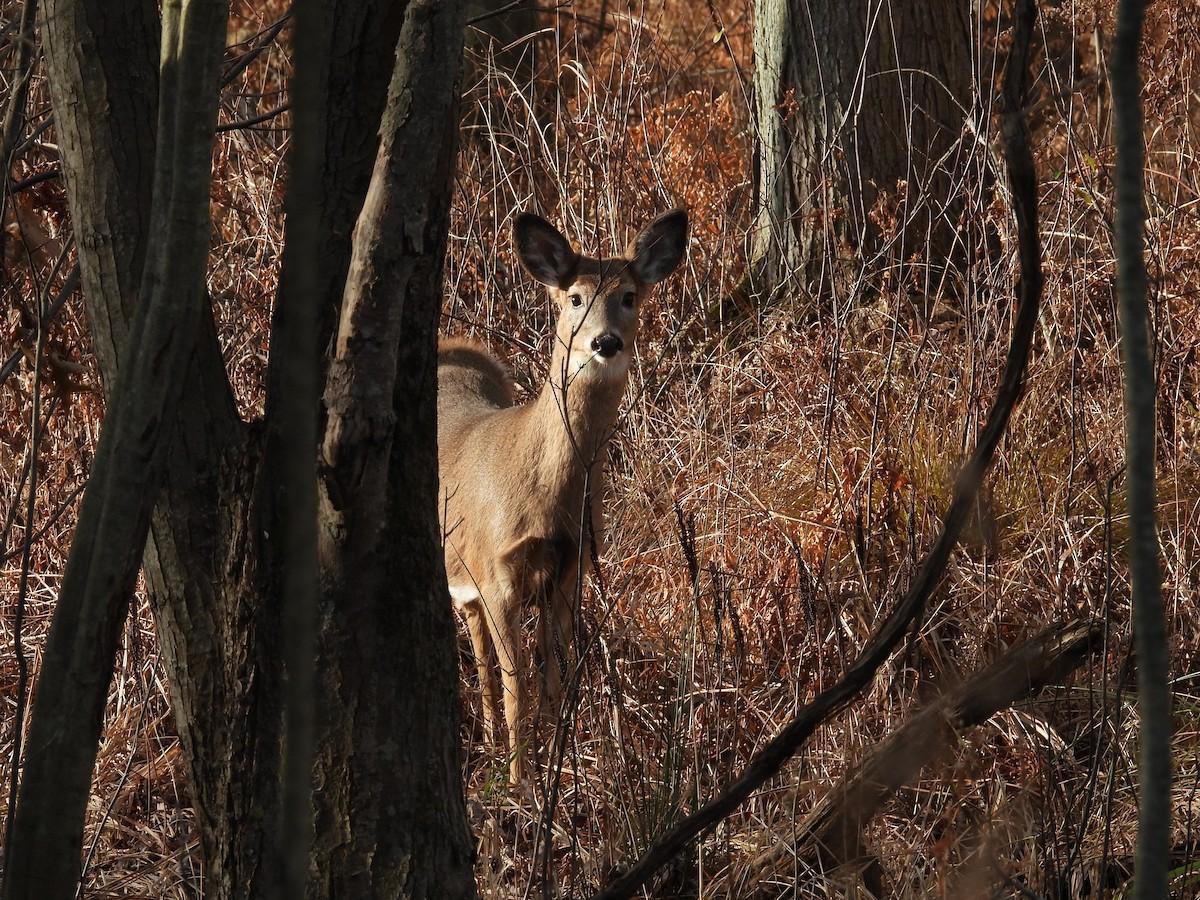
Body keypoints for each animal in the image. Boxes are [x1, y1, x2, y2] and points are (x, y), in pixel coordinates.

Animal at [437, 208, 688, 784]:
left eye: (629, 296)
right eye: (575, 298)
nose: (605, 343)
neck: (543, 493)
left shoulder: (571, 568)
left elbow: (553, 682)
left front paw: (560, 766)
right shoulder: (498, 573)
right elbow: (519, 690)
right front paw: (521, 784)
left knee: (477, 646)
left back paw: (488, 742)